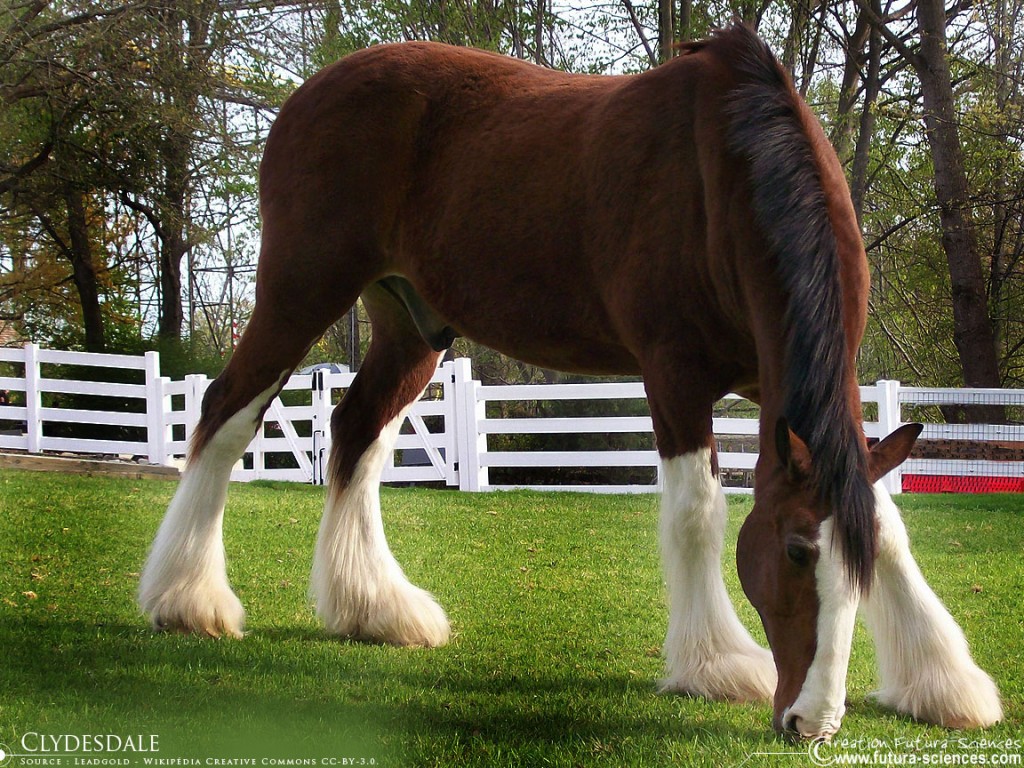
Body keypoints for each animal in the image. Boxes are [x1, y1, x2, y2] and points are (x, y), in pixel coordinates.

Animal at [138, 24, 1001, 739]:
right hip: (301, 286)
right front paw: (717, 665)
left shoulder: (787, 389)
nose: (811, 723)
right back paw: (186, 599)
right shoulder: (674, 371)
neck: (726, 176)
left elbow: (885, 520)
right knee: (226, 414)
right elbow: (697, 512)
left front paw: (944, 683)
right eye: (793, 553)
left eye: (854, 572)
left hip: (410, 322)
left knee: (356, 433)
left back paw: (375, 611)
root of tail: (311, 90)